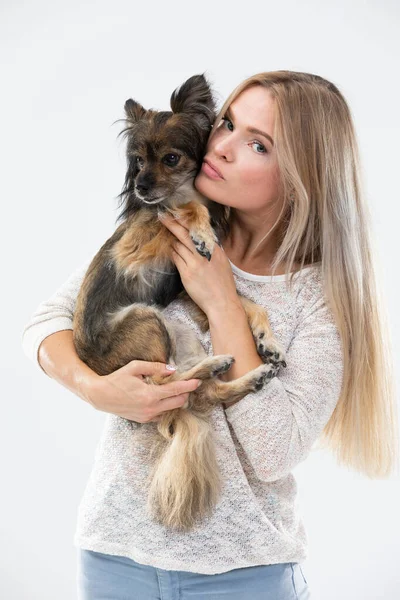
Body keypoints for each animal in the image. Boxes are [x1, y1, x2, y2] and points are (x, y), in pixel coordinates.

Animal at [73, 74, 286, 528]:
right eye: (137, 162)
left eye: (171, 159)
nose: (140, 186)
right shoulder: (140, 242)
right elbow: (182, 208)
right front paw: (203, 231)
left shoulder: (195, 288)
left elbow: (248, 303)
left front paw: (268, 340)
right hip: (148, 323)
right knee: (167, 384)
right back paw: (219, 366)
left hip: (176, 331)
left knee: (197, 392)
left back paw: (242, 373)